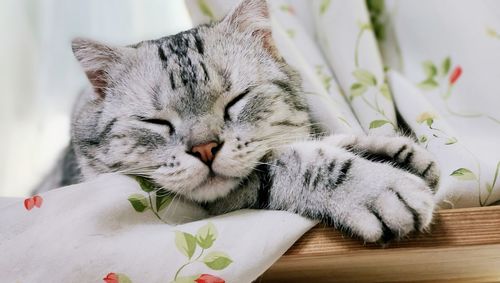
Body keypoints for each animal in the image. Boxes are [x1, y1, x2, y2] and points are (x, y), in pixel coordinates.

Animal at [37, 0, 440, 244]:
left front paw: (395, 151)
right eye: (157, 122)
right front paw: (377, 185)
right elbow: (294, 162)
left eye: (235, 101)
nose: (204, 148)